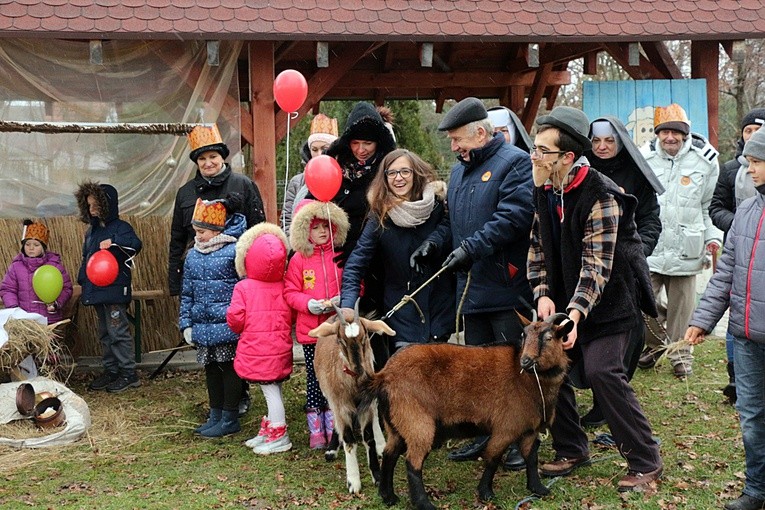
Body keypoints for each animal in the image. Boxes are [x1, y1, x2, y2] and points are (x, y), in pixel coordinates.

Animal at [308, 302, 394, 494]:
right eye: (340, 341)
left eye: (365, 338)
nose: (359, 370)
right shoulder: (341, 405)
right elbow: (349, 441)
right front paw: (353, 481)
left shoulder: (366, 405)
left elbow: (368, 438)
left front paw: (377, 475)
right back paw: (332, 448)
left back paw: (381, 443)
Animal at [360, 312, 572, 508]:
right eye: (524, 335)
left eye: (549, 338)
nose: (526, 361)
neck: (530, 381)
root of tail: (384, 375)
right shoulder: (506, 427)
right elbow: (492, 458)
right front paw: (486, 493)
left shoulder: (529, 429)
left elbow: (531, 458)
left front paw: (538, 489)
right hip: (416, 421)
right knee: (413, 462)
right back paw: (424, 504)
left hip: (396, 424)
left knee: (389, 454)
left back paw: (388, 497)